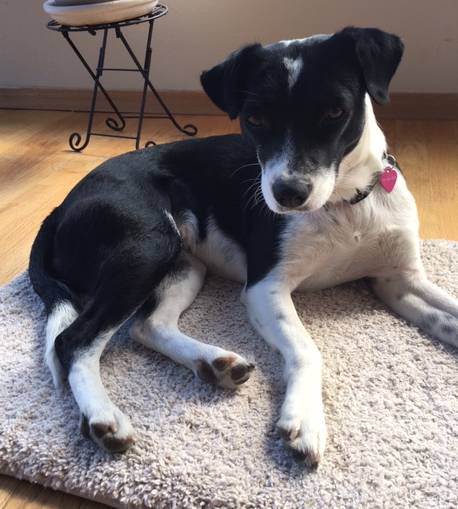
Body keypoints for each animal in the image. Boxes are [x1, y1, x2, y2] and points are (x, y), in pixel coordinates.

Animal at [29, 27, 458, 468]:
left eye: (335, 113)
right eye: (254, 119)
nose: (288, 194)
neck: (344, 203)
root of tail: (60, 206)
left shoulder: (399, 281)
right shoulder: (265, 289)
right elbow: (307, 349)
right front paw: (305, 419)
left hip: (183, 266)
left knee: (148, 326)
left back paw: (213, 363)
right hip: (149, 246)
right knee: (74, 340)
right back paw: (103, 417)